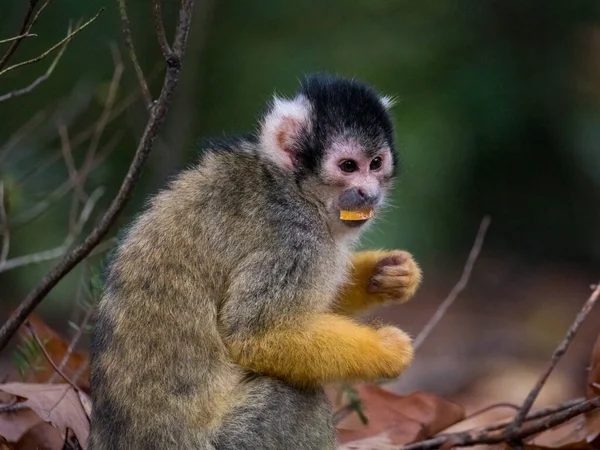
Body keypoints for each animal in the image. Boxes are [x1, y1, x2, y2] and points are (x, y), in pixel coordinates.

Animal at [91, 74, 424, 450]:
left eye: (376, 163)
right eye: (349, 166)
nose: (369, 193)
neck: (292, 187)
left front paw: (388, 274)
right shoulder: (291, 239)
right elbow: (256, 332)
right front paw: (387, 350)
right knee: (294, 396)